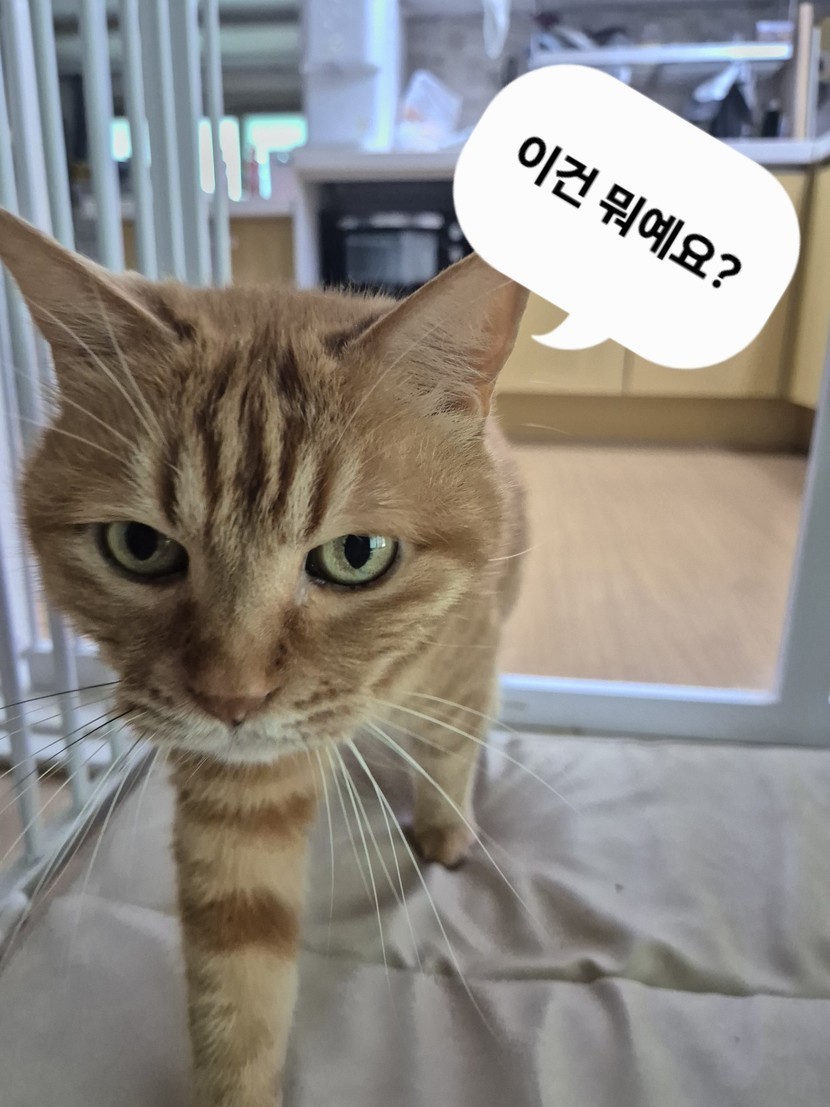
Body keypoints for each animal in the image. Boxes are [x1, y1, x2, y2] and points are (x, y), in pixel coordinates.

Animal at [0, 207, 528, 1107]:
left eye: (357, 555)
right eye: (138, 545)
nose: (231, 699)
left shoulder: (463, 663)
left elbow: (453, 745)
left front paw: (445, 829)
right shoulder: (238, 792)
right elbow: (238, 977)